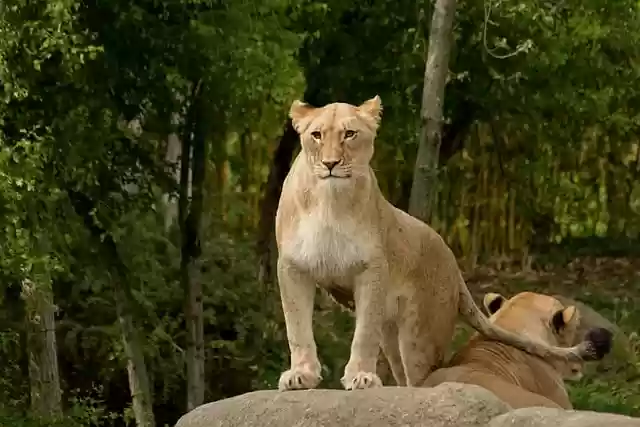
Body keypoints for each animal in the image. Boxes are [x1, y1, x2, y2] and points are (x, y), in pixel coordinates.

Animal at [274, 95, 610, 392]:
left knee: (421, 376)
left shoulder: (372, 268)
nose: (330, 163)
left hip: (418, 338)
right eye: (316, 135)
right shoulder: (292, 267)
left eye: (350, 134)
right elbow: (297, 328)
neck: (330, 203)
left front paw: (361, 377)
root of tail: (451, 260)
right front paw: (301, 376)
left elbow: (364, 333)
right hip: (393, 336)